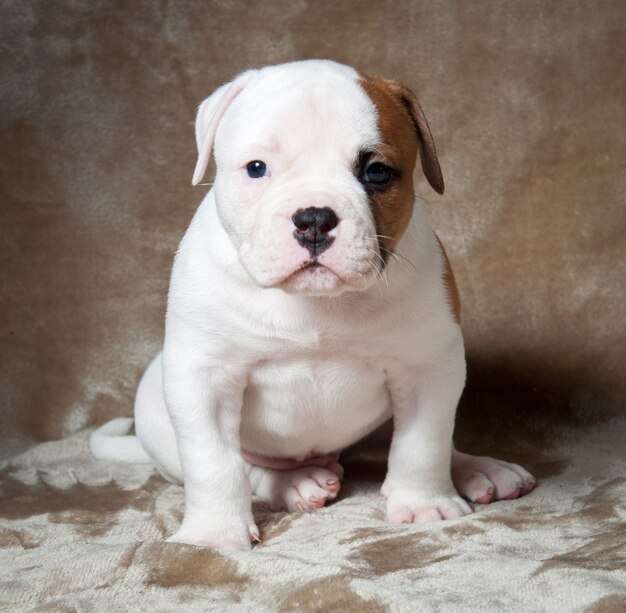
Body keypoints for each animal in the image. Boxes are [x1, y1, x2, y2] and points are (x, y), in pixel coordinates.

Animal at [90, 61, 532, 548]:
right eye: (257, 168)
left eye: (377, 172)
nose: (315, 218)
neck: (316, 304)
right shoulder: (203, 377)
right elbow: (213, 462)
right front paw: (213, 533)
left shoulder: (428, 365)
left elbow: (424, 441)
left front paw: (423, 504)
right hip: (160, 416)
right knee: (251, 470)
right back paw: (296, 482)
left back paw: (479, 468)